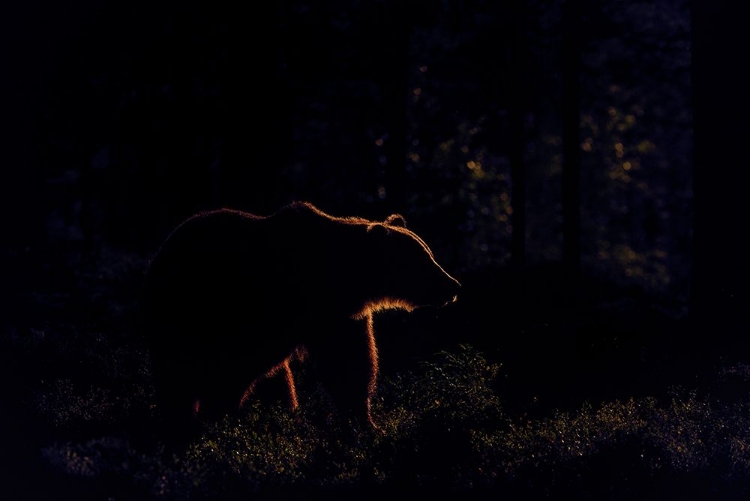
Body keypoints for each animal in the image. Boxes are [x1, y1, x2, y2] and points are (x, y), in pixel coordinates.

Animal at [140, 201, 458, 440]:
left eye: (429, 253)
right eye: (424, 260)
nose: (453, 285)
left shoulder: (340, 316)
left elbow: (351, 366)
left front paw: (365, 424)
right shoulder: (271, 310)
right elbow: (237, 369)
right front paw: (220, 417)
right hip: (183, 310)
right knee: (179, 372)